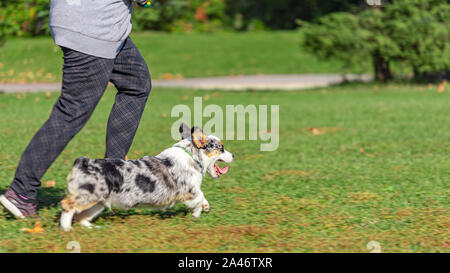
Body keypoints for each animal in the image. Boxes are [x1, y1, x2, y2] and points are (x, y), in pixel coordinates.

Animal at [59, 122, 234, 231]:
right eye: (221, 148)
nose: (233, 155)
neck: (192, 156)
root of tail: (82, 162)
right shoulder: (187, 191)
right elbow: (198, 197)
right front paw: (197, 214)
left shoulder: (193, 189)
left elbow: (202, 195)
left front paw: (206, 206)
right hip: (88, 196)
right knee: (67, 205)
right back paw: (67, 228)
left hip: (98, 202)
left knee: (82, 216)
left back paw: (91, 228)